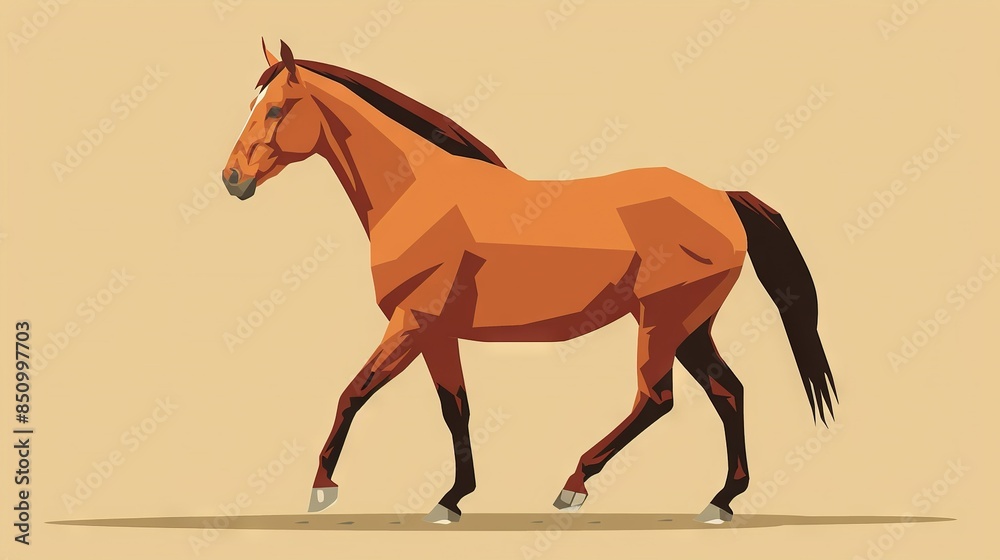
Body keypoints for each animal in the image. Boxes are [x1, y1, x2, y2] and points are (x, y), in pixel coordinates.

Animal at [221, 40, 837, 525]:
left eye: (276, 109)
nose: (232, 179)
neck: (417, 191)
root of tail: (721, 198)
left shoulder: (412, 322)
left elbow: (353, 391)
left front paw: (322, 488)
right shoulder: (437, 333)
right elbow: (455, 408)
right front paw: (452, 499)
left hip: (663, 323)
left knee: (655, 399)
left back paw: (575, 486)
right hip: (689, 327)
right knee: (727, 392)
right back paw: (721, 500)